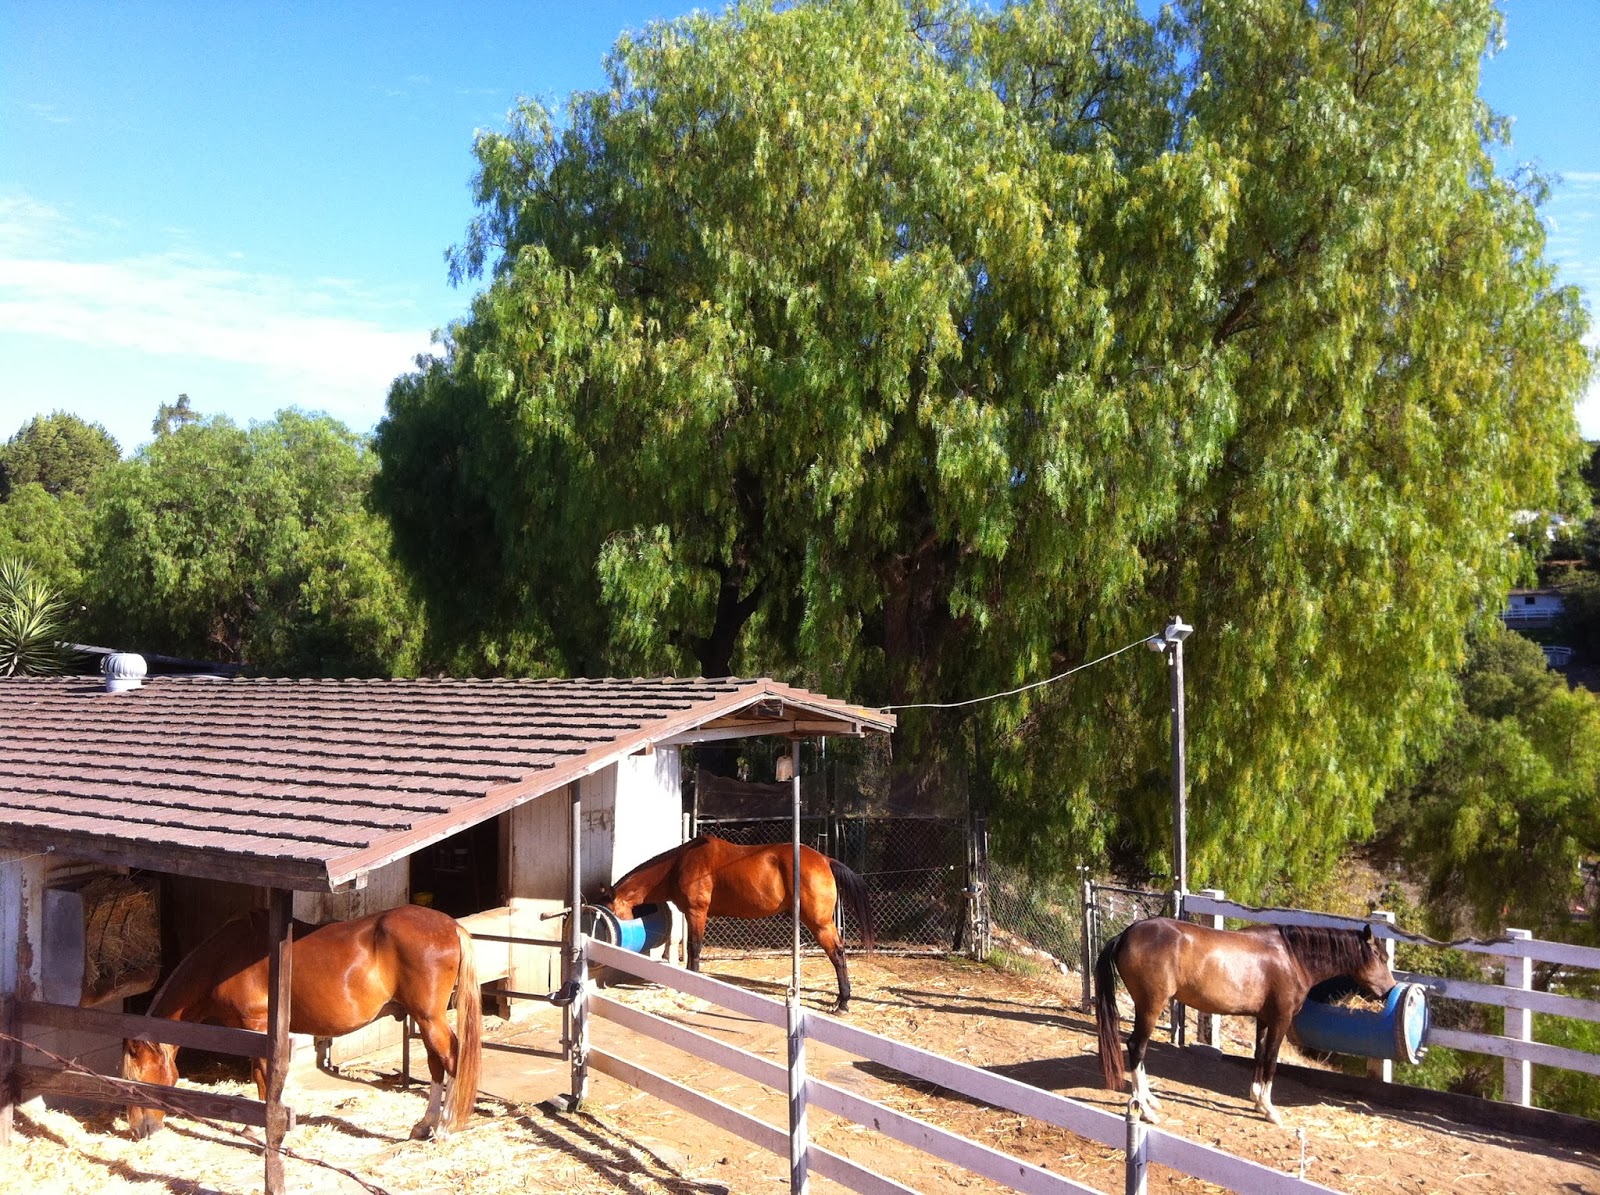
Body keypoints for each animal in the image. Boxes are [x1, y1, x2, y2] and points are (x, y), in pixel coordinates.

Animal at [123, 904, 481, 1142]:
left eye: (135, 1078)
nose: (139, 1131)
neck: (223, 960)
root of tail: (450, 926)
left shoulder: (255, 1025)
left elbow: (262, 1074)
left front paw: (259, 1128)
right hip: (425, 1019)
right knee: (437, 1065)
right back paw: (424, 1125)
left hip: (429, 1018)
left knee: (452, 1058)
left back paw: (446, 1127)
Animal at [595, 834, 875, 1012]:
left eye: (609, 910)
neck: (679, 864)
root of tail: (825, 860)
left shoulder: (697, 913)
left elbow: (694, 949)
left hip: (820, 924)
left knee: (837, 954)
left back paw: (843, 1003)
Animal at [1094, 917, 1394, 1125]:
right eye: (1380, 957)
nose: (1390, 990)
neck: (1291, 957)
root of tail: (1126, 935)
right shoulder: (1280, 1020)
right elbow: (1271, 1061)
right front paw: (1270, 1110)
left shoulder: (1263, 1019)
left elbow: (1259, 1057)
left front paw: (1257, 1101)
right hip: (1150, 1006)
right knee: (1137, 1047)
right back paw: (1145, 1110)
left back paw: (1148, 1099)